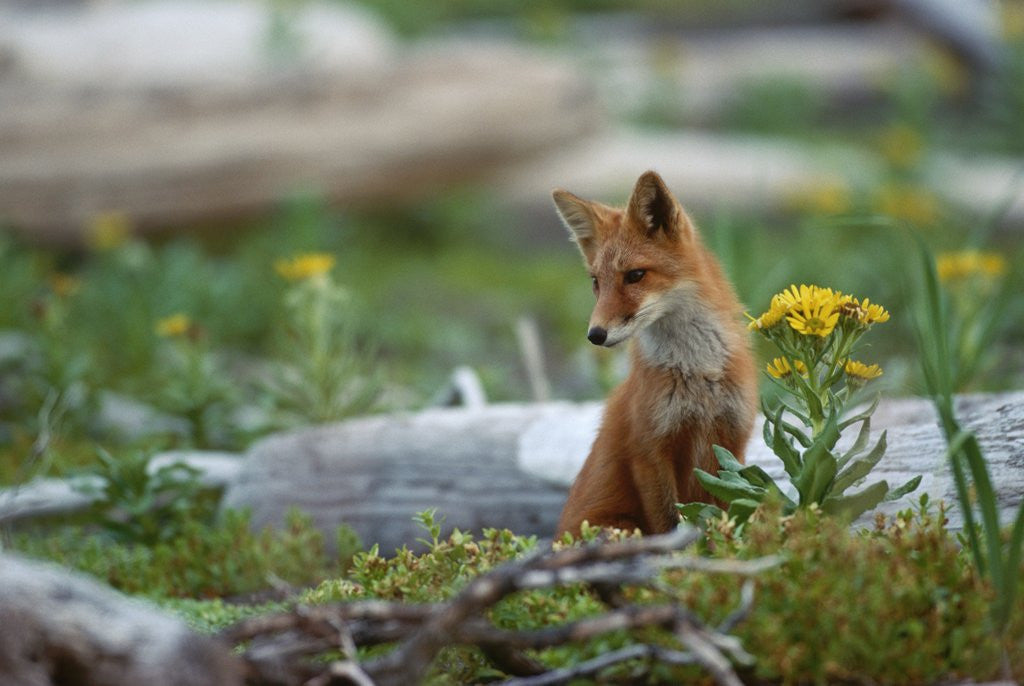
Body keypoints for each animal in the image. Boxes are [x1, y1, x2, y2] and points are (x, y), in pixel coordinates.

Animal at [552, 170, 758, 537]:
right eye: (596, 282)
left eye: (635, 275)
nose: (595, 335)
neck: (698, 372)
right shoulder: (649, 451)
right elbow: (669, 522)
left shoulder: (732, 441)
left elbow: (726, 509)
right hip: (619, 528)